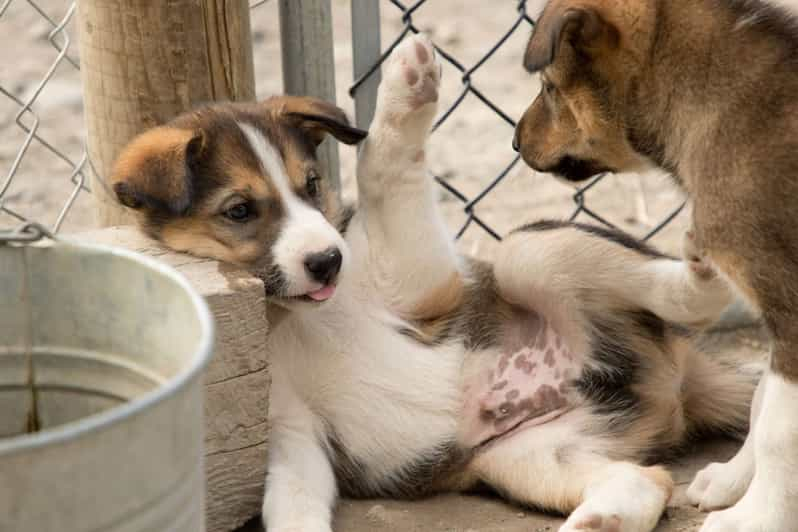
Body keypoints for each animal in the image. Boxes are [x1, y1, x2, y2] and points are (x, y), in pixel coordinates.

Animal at [111, 36, 756, 532]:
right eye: (240, 211)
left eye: (311, 184)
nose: (329, 261)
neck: (284, 318)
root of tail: (681, 379)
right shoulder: (293, 440)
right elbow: (291, 507)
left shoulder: (418, 282)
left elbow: (383, 164)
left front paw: (406, 87)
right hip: (529, 454)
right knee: (648, 479)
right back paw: (600, 521)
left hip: (530, 254)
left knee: (658, 294)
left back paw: (704, 278)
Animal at [516, 2, 798, 528]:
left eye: (549, 88)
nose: (514, 142)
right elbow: (761, 404)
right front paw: (731, 481)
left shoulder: (788, 304)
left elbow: (778, 429)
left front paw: (756, 517)